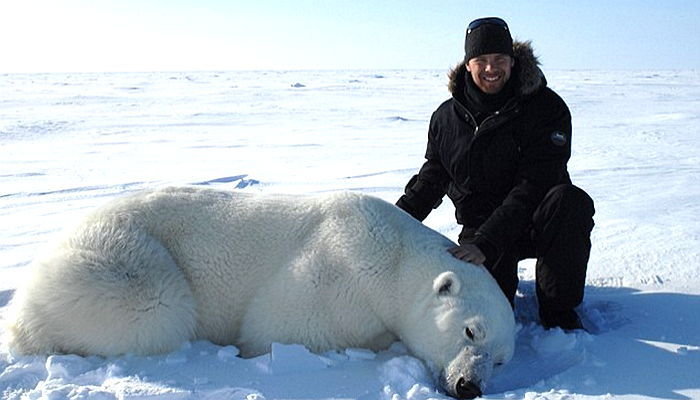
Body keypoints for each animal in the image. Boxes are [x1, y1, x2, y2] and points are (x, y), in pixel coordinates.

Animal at [5, 187, 516, 396]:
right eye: (470, 331)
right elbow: (278, 328)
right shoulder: (337, 273)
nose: (469, 387)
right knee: (158, 307)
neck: (394, 256)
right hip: (122, 262)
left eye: (501, 359)